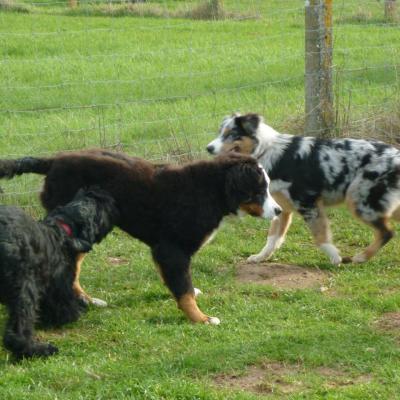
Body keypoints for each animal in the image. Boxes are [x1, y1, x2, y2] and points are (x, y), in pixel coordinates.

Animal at [0, 150, 282, 324]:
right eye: (260, 190)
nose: (278, 210)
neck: (208, 191)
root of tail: (53, 161)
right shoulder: (172, 249)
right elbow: (183, 290)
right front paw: (201, 318)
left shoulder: (164, 250)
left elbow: (179, 283)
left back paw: (90, 300)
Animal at [0, 188, 119, 360]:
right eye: (100, 209)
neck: (62, 231)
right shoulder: (60, 284)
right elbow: (65, 304)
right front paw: (76, 311)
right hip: (24, 288)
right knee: (17, 330)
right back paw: (38, 350)